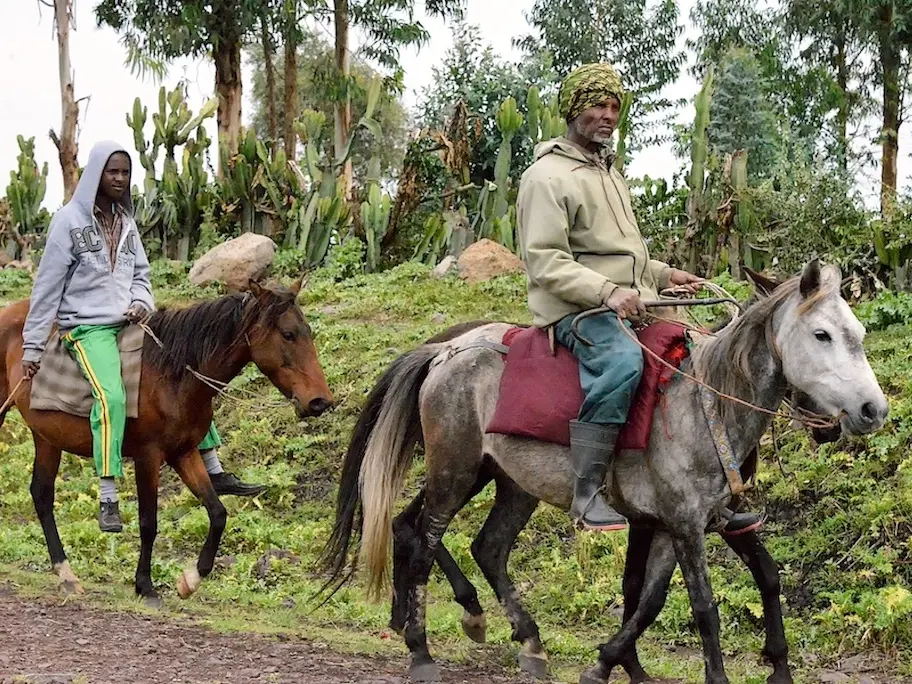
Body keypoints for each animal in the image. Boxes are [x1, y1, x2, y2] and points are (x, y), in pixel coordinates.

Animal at [0, 278, 332, 604]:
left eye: (308, 331)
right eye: (288, 334)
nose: (320, 401)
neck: (171, 375)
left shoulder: (184, 453)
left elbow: (218, 513)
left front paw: (190, 580)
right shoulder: (148, 457)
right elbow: (149, 523)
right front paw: (145, 586)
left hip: (47, 437)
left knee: (42, 494)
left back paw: (66, 574)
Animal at [320, 262, 884, 684]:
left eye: (857, 334)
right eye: (821, 334)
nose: (872, 410)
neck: (705, 402)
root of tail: (446, 352)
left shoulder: (680, 522)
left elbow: (654, 597)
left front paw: (611, 663)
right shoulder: (684, 523)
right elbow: (702, 606)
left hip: (506, 480)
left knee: (482, 545)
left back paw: (525, 642)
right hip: (454, 472)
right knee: (424, 538)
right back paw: (421, 650)